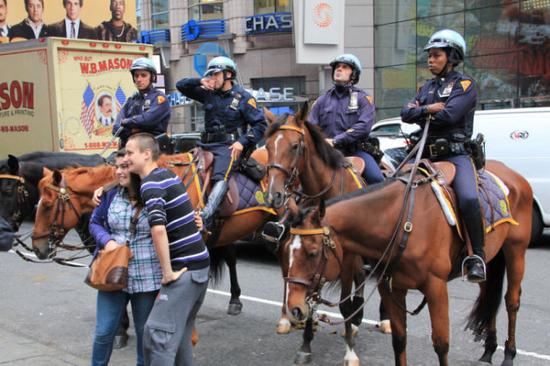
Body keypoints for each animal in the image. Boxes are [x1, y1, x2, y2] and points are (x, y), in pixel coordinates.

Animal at [266, 105, 382, 364]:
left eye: (295, 146)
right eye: (267, 146)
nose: (273, 195)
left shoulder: (346, 258)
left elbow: (345, 305)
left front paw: (350, 352)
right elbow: (309, 297)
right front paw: (306, 344)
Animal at [288, 161, 536, 366]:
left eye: (312, 253)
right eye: (287, 250)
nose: (295, 308)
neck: (402, 223)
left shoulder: (436, 288)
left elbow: (441, 344)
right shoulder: (391, 287)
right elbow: (399, 340)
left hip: (515, 250)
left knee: (511, 301)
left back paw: (508, 354)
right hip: (488, 259)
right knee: (489, 298)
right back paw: (489, 351)